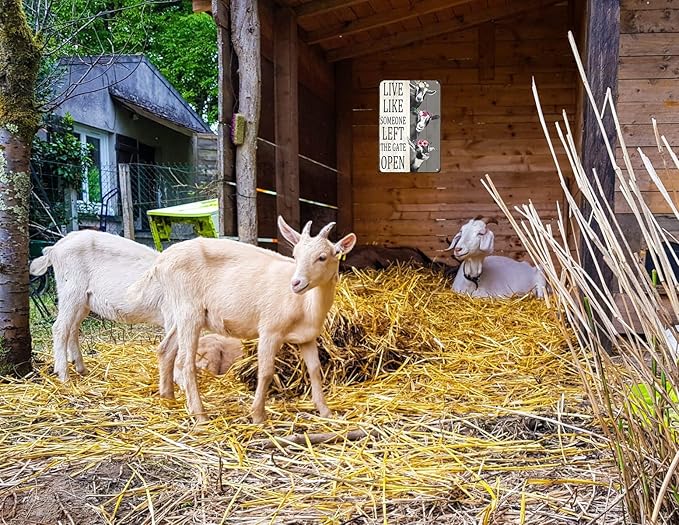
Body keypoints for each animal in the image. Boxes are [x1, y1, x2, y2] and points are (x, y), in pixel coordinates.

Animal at [29, 229, 240, 382]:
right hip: (71, 290)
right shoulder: (173, 315)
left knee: (73, 328)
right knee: (60, 328)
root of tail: (55, 248)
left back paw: (81, 368)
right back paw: (63, 375)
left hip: (84, 300)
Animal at [127, 217, 357, 423]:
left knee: (165, 349)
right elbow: (266, 371)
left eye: (322, 257)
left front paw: (326, 412)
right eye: (295, 254)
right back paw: (200, 416)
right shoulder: (270, 329)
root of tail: (160, 262)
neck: (305, 305)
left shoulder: (307, 337)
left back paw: (168, 399)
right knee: (185, 362)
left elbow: (315, 370)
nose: (296, 283)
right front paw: (258, 415)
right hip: (188, 309)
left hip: (181, 313)